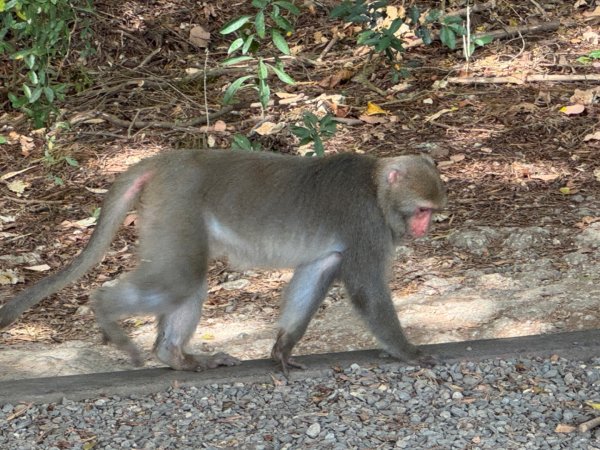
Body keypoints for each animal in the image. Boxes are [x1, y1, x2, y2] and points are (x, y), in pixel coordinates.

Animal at [0, 149, 446, 374]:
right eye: (423, 210)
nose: (425, 228)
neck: (376, 189)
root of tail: (166, 160)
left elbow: (318, 269)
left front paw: (282, 349)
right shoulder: (365, 223)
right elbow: (367, 290)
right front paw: (408, 352)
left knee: (188, 279)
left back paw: (175, 357)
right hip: (177, 204)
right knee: (180, 277)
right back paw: (105, 309)